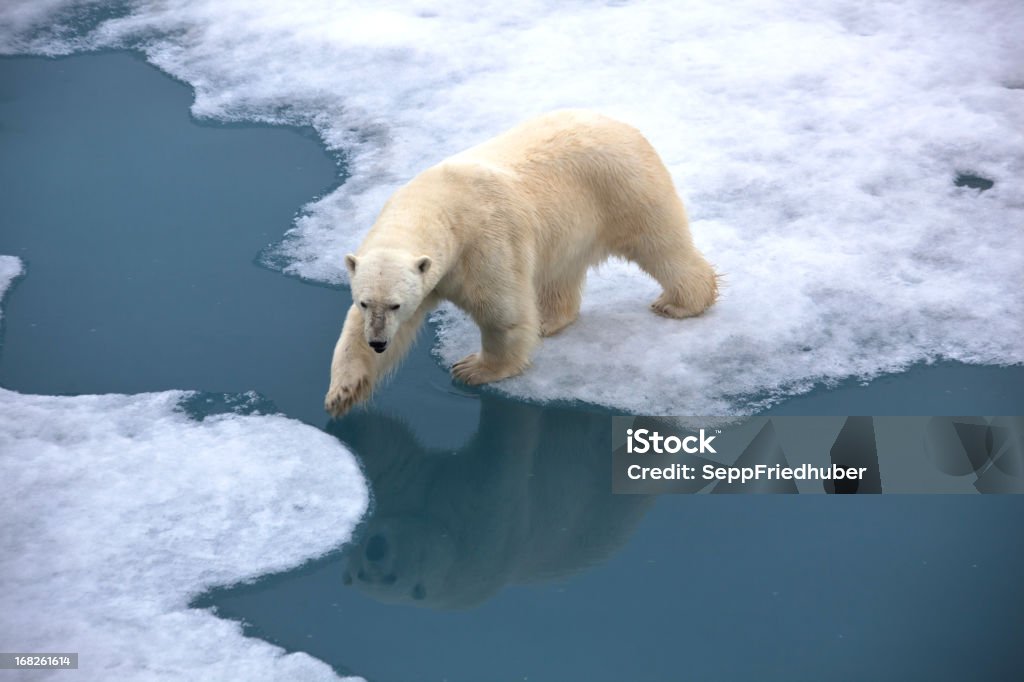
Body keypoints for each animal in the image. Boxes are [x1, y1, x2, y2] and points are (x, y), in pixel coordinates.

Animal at [323, 108, 716, 413]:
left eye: (395, 304)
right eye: (366, 301)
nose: (378, 342)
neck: (439, 207)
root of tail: (623, 125)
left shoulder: (484, 244)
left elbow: (502, 313)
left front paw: (473, 368)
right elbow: (354, 329)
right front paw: (342, 392)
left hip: (624, 189)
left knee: (661, 245)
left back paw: (679, 303)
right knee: (560, 274)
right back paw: (548, 320)